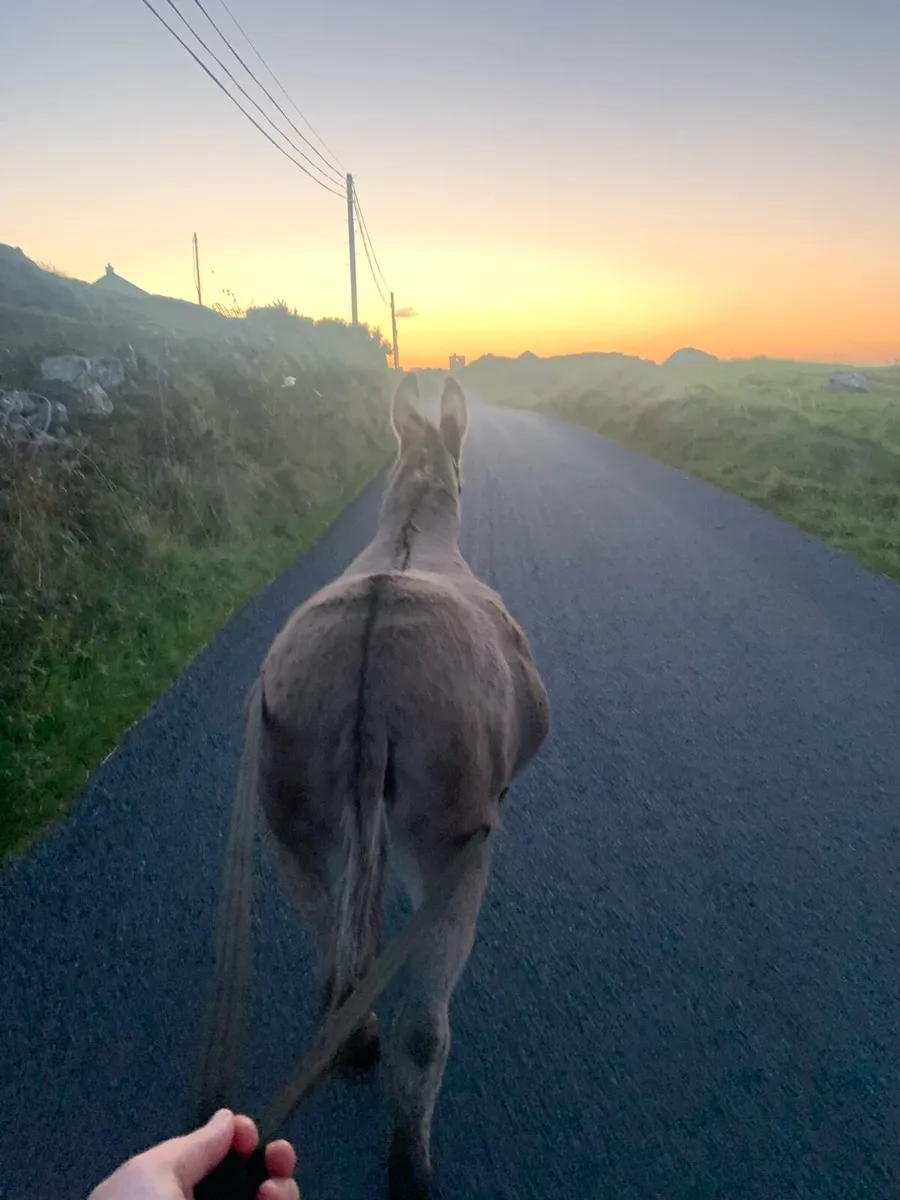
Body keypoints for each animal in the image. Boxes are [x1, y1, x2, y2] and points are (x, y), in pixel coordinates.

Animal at [249, 370, 550, 1198]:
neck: (413, 531)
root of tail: (369, 684)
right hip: (453, 851)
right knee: (425, 1031)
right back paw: (409, 1165)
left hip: (289, 818)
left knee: (335, 966)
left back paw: (354, 1043)